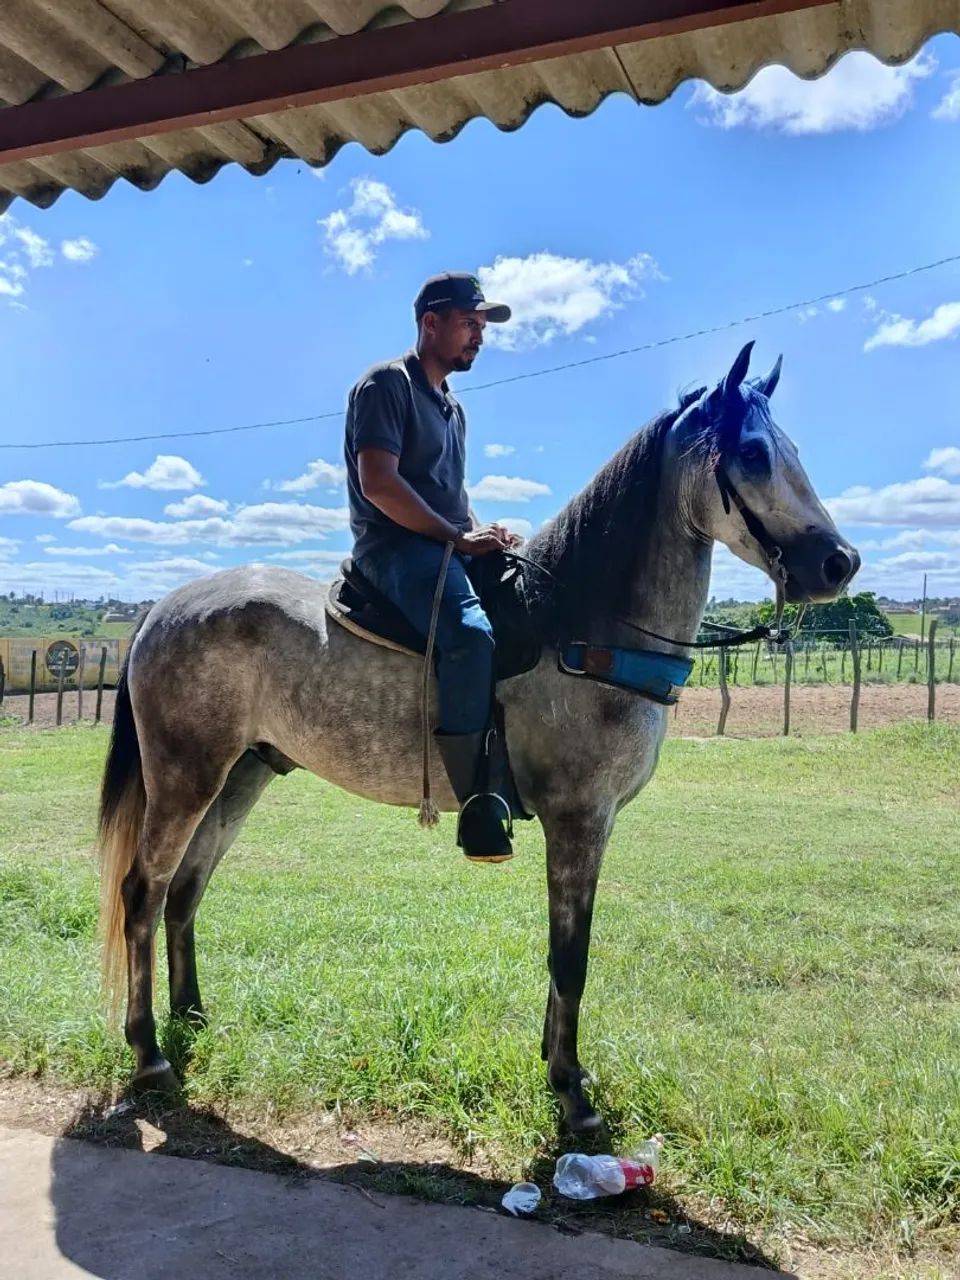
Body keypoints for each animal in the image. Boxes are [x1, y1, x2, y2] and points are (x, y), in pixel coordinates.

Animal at [98, 342, 859, 1133]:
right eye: (754, 453)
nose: (839, 563)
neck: (578, 626)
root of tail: (162, 610)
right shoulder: (578, 820)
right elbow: (570, 956)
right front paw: (570, 1092)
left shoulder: (592, 824)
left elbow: (565, 956)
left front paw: (559, 1067)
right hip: (185, 777)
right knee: (143, 891)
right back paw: (148, 1051)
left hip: (241, 774)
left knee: (185, 889)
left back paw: (191, 1019)